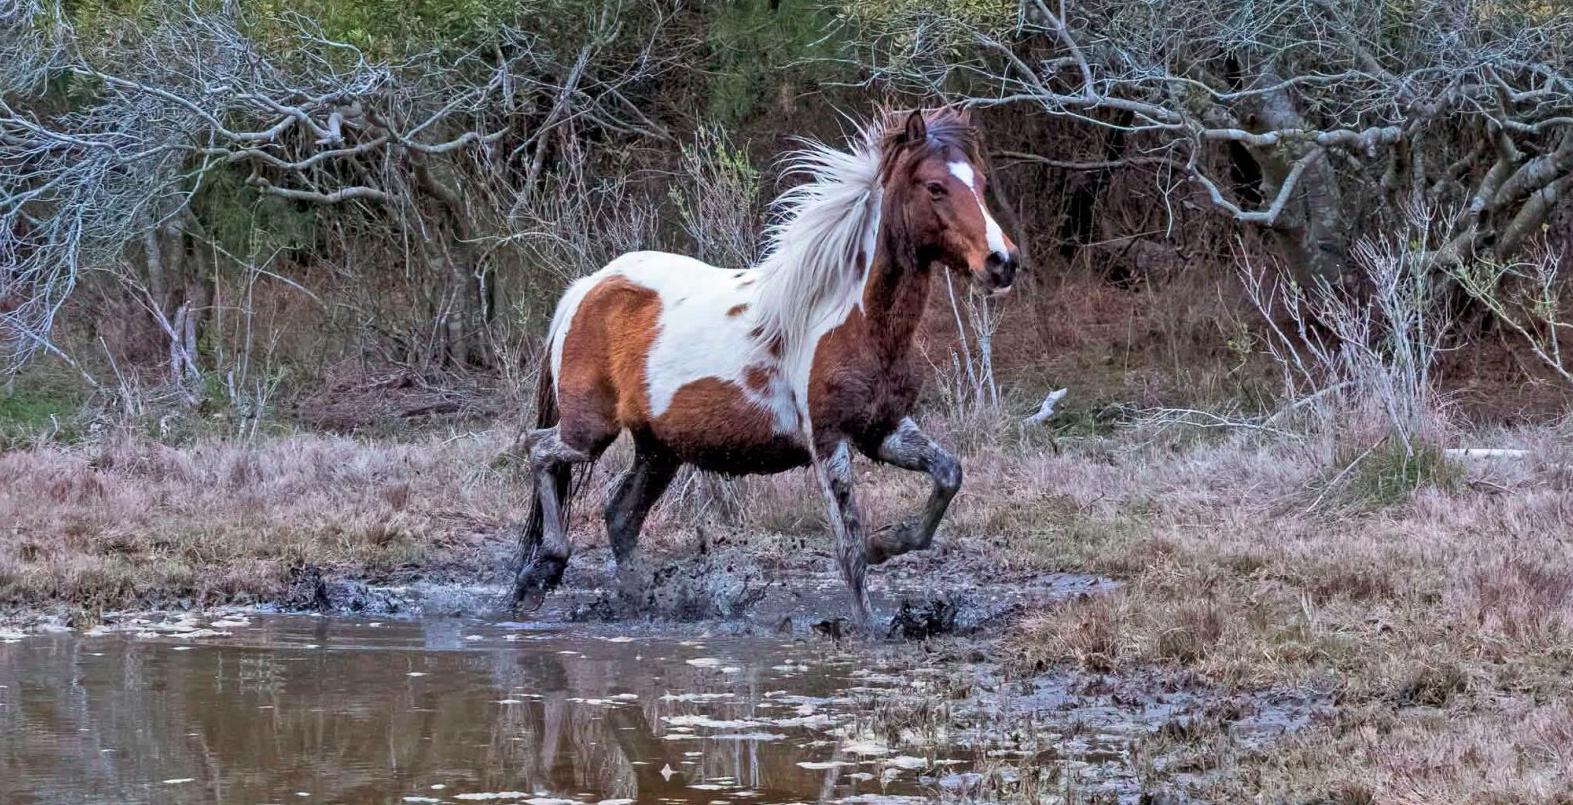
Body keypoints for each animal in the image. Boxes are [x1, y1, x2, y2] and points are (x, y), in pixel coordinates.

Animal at [514, 108, 1019, 627]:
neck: (852, 320)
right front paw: (869, 627)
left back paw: (639, 600)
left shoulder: (884, 429)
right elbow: (849, 549)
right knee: (536, 449)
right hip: (589, 430)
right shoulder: (828, 440)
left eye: (980, 182)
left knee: (619, 515)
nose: (1002, 262)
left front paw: (887, 544)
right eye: (935, 186)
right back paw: (540, 575)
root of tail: (589, 285)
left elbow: (948, 474)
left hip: (659, 449)